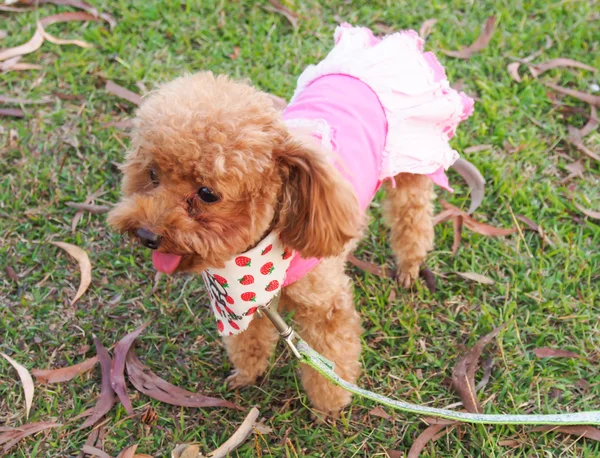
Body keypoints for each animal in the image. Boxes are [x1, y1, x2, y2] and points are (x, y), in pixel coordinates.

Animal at [108, 24, 474, 418]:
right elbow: (250, 339)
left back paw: (409, 265)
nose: (146, 234)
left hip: (412, 166)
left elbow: (331, 357)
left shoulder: (324, 306)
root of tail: (388, 45)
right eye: (152, 174)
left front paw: (329, 407)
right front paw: (248, 373)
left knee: (412, 217)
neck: (254, 258)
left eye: (207, 193)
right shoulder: (248, 305)